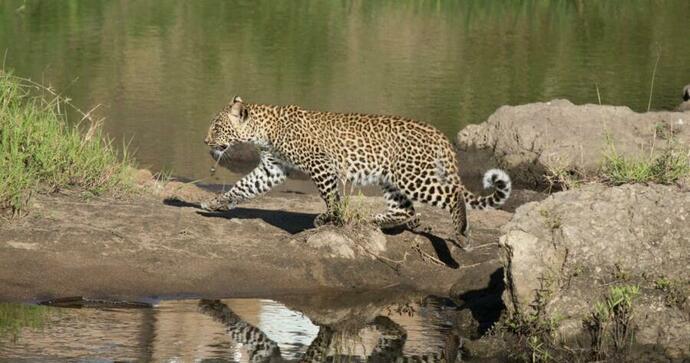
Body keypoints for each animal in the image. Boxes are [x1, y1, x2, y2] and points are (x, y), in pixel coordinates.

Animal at [202, 96, 508, 246]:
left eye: (216, 127)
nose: (205, 141)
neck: (263, 130)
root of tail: (438, 133)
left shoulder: (320, 164)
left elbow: (330, 196)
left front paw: (329, 218)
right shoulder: (273, 168)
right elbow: (245, 185)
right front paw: (216, 202)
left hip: (413, 176)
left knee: (453, 194)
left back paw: (461, 230)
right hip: (391, 179)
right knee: (406, 209)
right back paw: (373, 220)